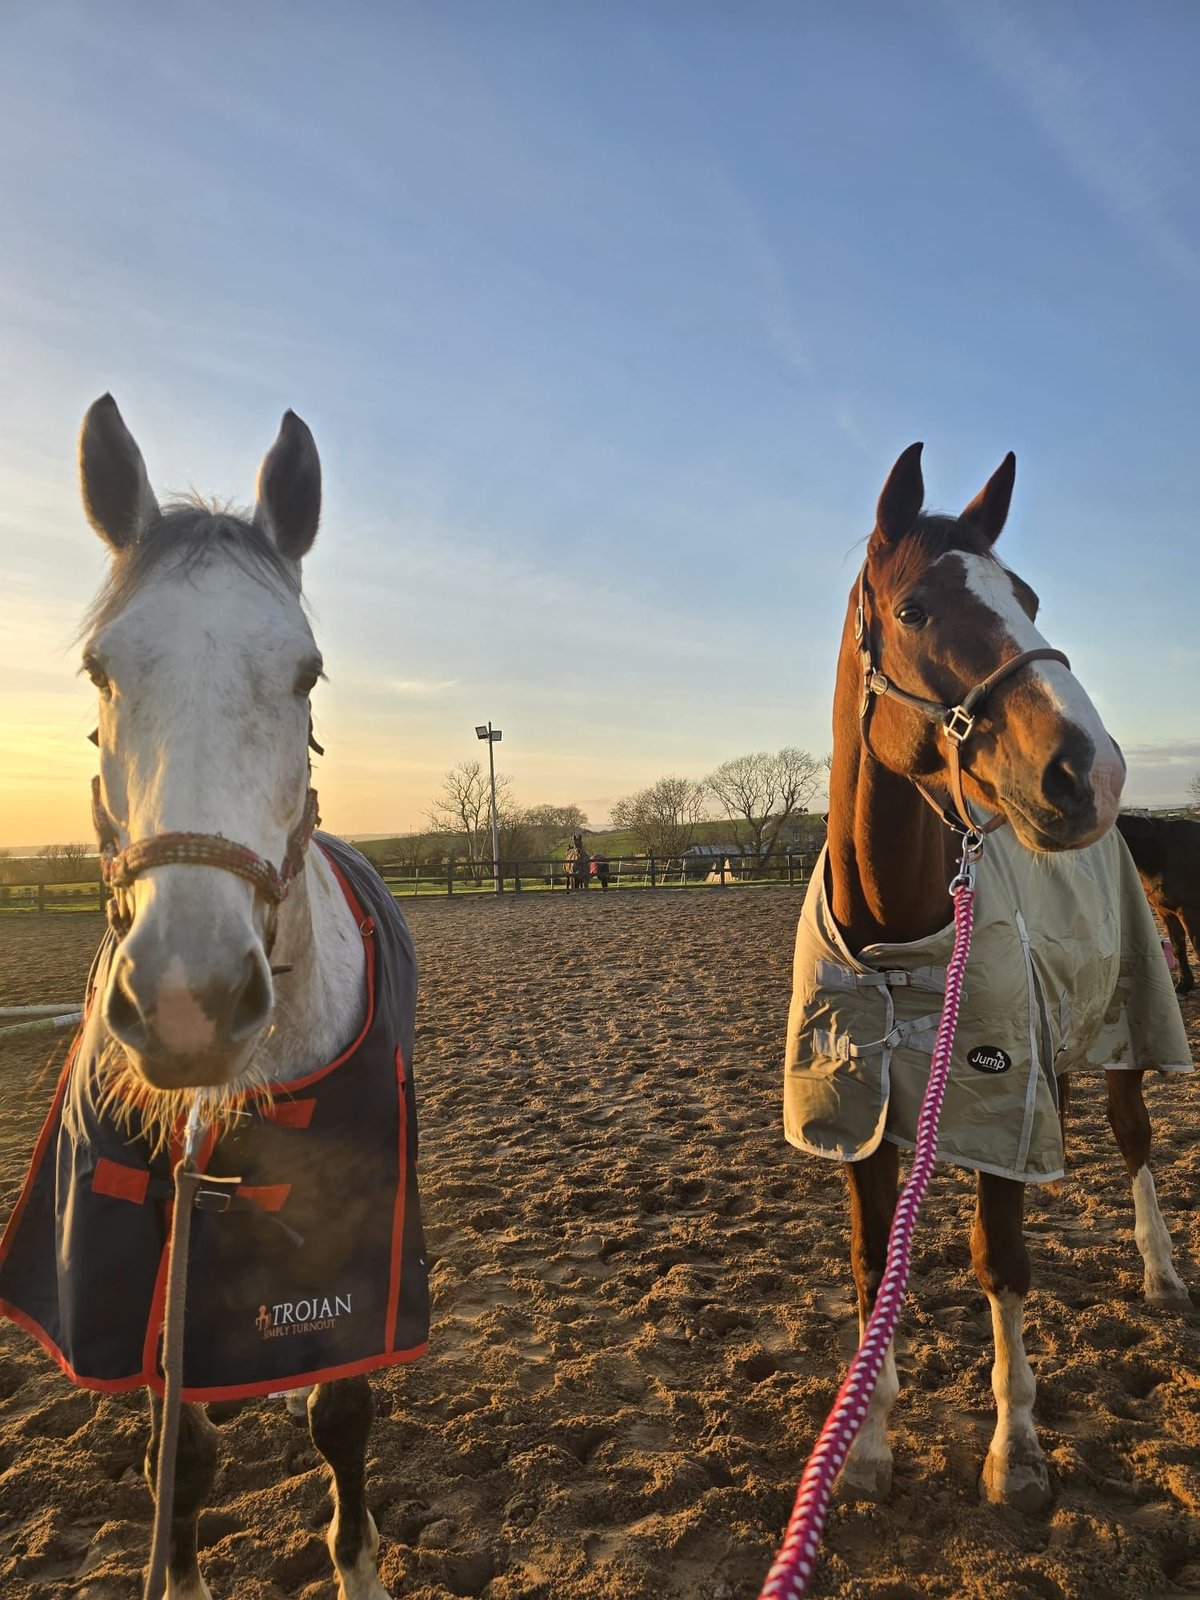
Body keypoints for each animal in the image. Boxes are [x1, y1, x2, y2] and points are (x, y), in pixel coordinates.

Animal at [0, 396, 428, 1600]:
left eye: (307, 674)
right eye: (101, 671)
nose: (188, 999)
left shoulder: (353, 1250)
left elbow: (343, 1412)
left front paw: (358, 1562)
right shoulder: (146, 1266)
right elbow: (177, 1456)